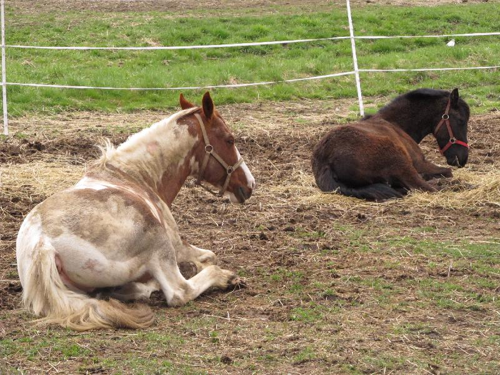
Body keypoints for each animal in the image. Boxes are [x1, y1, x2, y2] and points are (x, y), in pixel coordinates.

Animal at [15, 92, 256, 330]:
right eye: (229, 139)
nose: (250, 184)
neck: (134, 176)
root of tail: (42, 244)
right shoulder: (176, 247)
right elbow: (209, 257)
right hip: (157, 241)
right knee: (179, 291)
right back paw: (223, 278)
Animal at [310, 88, 470, 201]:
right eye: (461, 120)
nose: (462, 159)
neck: (394, 123)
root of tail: (326, 161)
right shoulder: (420, 163)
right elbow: (447, 172)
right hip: (401, 164)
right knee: (423, 187)